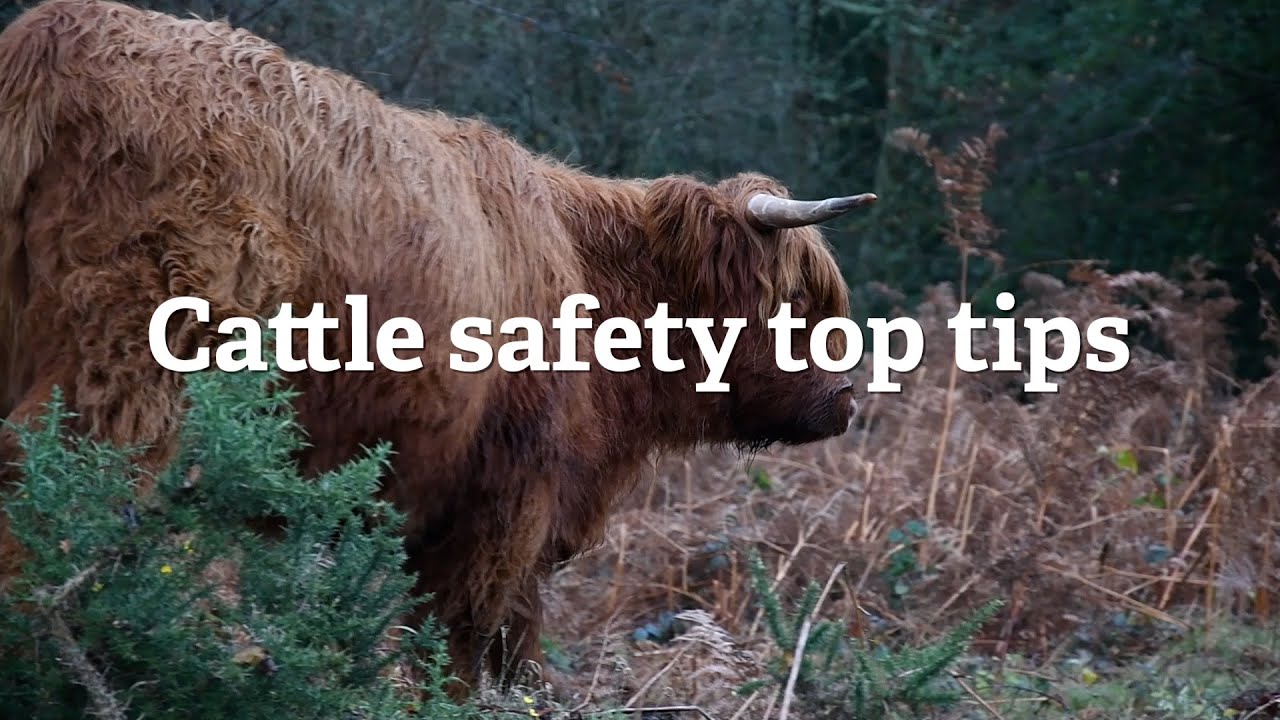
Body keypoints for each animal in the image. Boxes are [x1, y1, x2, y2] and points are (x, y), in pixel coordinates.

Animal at [0, 0, 874, 698]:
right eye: (798, 301)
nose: (846, 398)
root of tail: (61, 31)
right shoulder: (508, 497)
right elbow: (462, 643)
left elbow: (506, 643)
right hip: (121, 375)